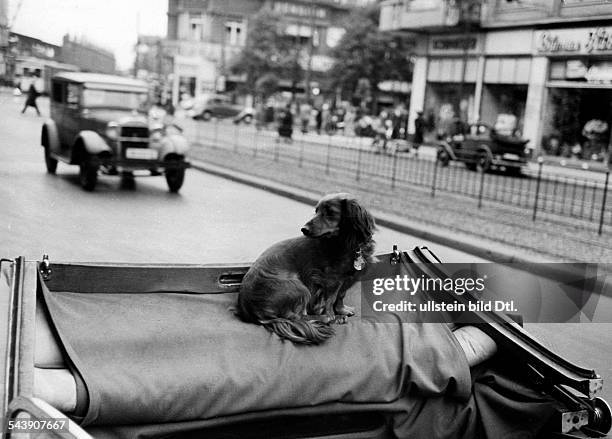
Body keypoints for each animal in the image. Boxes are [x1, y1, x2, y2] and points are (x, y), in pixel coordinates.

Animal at [235, 194, 376, 346]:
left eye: (330, 212)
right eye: (316, 211)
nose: (304, 229)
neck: (346, 243)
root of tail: (251, 310)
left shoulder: (345, 279)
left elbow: (340, 296)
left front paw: (342, 311)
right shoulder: (330, 280)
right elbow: (330, 300)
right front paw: (333, 316)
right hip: (299, 287)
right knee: (297, 317)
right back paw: (324, 319)